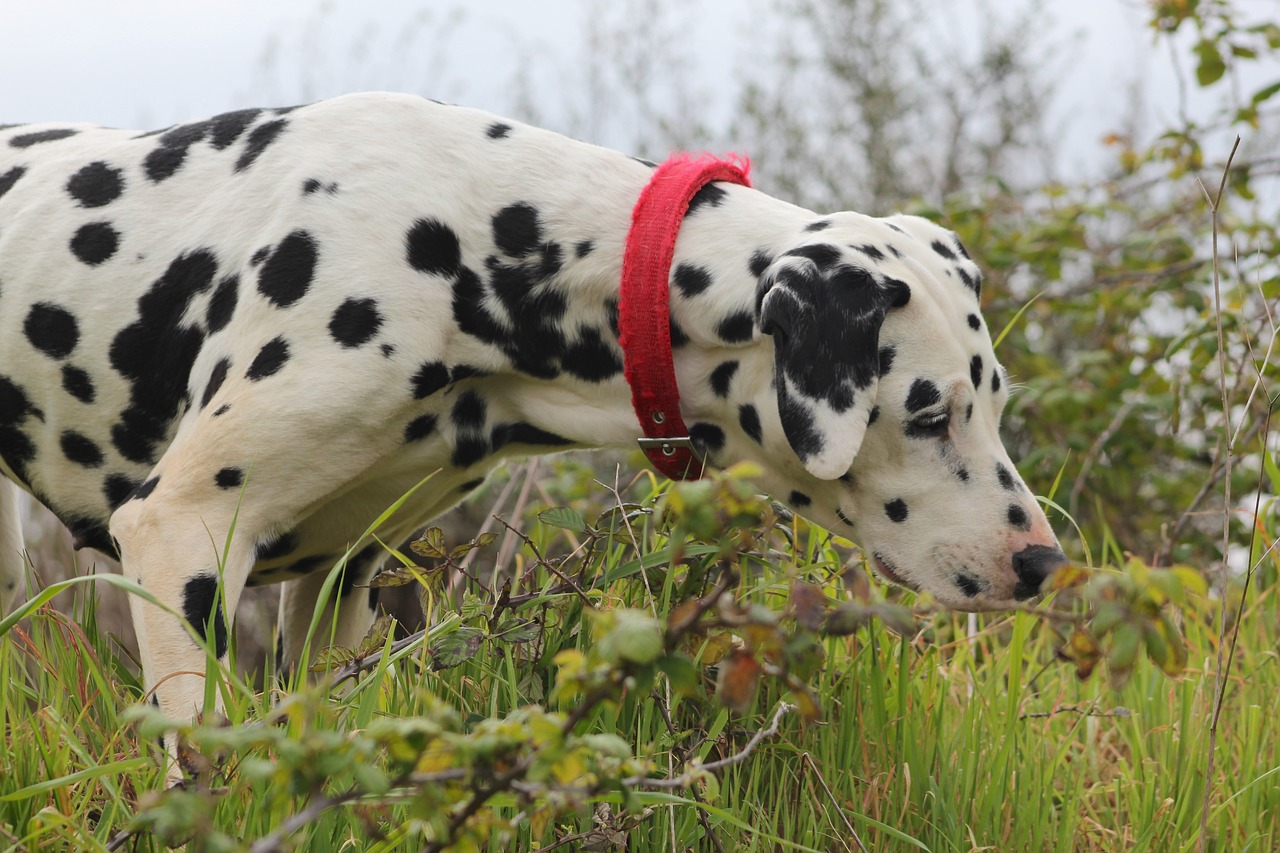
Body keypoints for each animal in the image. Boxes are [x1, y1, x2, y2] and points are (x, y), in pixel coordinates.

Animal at [0, 91, 1064, 778]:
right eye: (928, 414)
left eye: (993, 400)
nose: (1045, 563)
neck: (464, 237)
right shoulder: (181, 532)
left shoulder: (341, 579)